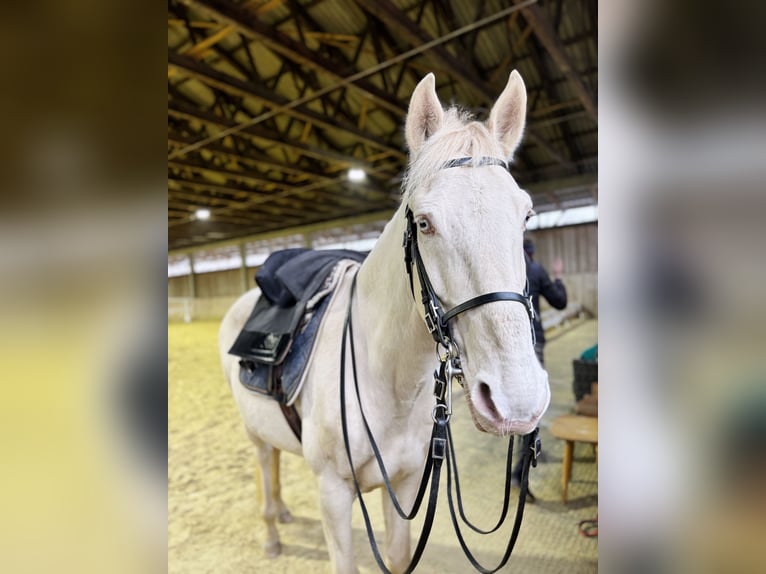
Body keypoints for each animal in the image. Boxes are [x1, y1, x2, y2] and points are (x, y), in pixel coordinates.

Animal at [219, 72, 548, 574]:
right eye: (426, 223)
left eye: (526, 216)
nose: (517, 399)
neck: (388, 380)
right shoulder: (334, 494)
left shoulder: (408, 485)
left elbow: (396, 557)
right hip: (254, 434)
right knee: (264, 465)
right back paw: (272, 533)